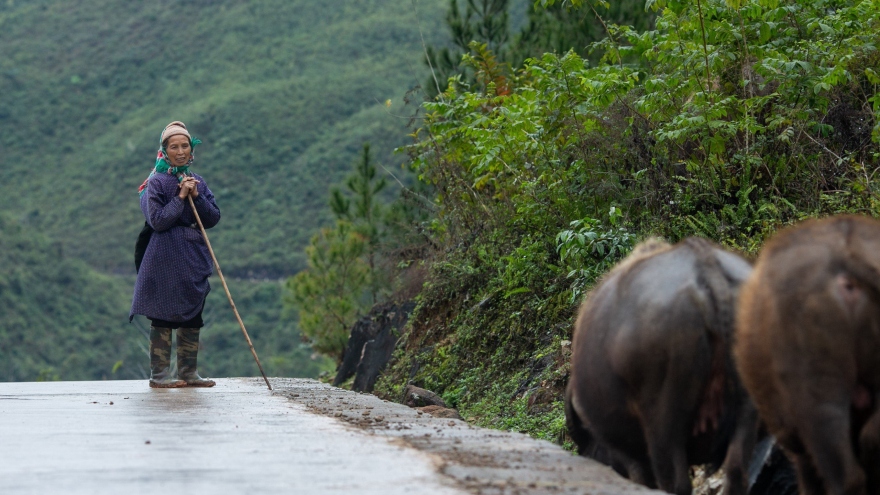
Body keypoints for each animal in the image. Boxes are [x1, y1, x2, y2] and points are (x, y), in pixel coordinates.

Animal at [568, 238, 760, 494]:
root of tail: (702, 264)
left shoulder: (630, 456)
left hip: (662, 424)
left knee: (675, 483)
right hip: (748, 408)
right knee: (736, 472)